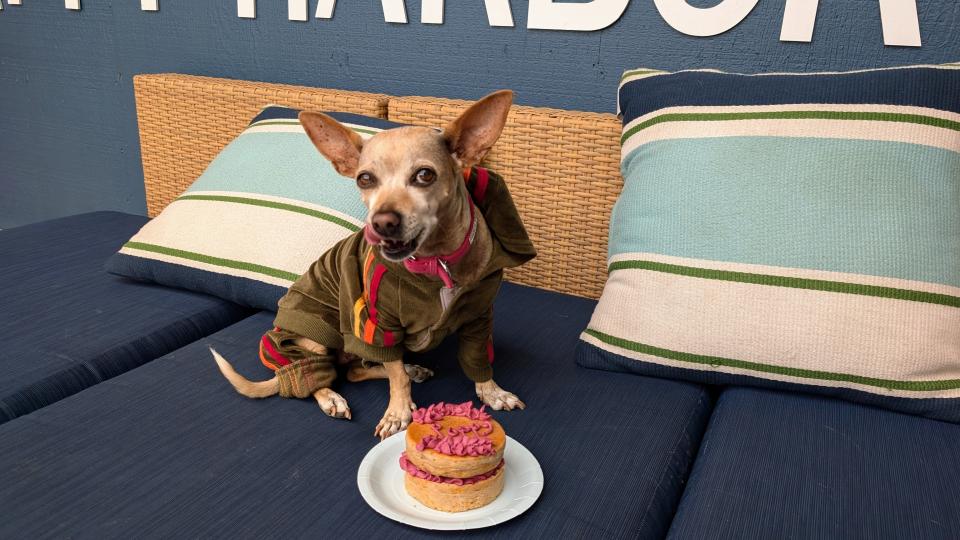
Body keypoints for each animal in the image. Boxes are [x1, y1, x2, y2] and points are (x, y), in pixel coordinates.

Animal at [209, 92, 532, 438]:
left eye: (425, 175)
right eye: (365, 179)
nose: (381, 223)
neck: (437, 263)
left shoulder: (478, 317)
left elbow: (477, 360)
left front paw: (492, 392)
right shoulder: (381, 326)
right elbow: (396, 377)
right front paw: (398, 413)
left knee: (355, 371)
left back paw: (410, 368)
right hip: (317, 334)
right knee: (313, 374)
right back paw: (332, 396)